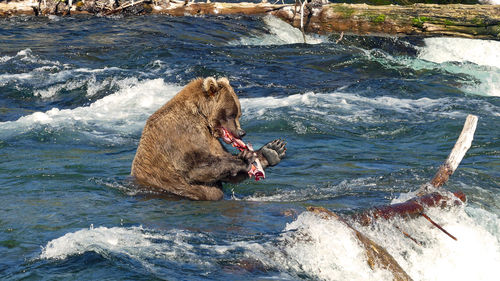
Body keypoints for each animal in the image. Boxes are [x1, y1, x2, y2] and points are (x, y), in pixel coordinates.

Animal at [130, 76, 286, 199]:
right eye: (231, 114)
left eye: (239, 114)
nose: (242, 132)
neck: (202, 116)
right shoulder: (181, 133)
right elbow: (195, 166)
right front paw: (244, 159)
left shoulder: (211, 139)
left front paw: (273, 150)